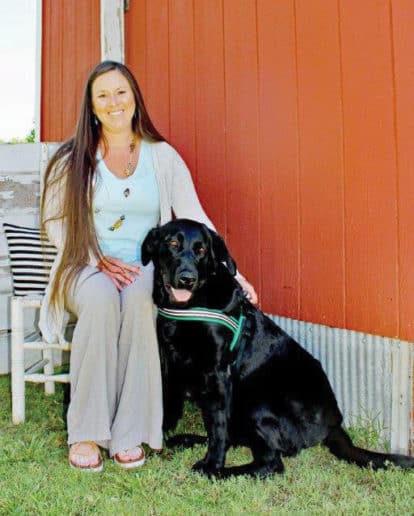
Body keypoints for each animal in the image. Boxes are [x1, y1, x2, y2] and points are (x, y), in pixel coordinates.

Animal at [142, 220, 414, 478]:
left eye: (201, 250)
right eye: (172, 244)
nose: (187, 279)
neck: (189, 306)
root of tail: (334, 425)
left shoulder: (218, 373)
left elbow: (218, 427)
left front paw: (212, 464)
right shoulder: (169, 362)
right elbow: (168, 405)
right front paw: (159, 443)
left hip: (256, 402)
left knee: (271, 463)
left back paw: (218, 473)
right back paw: (187, 440)